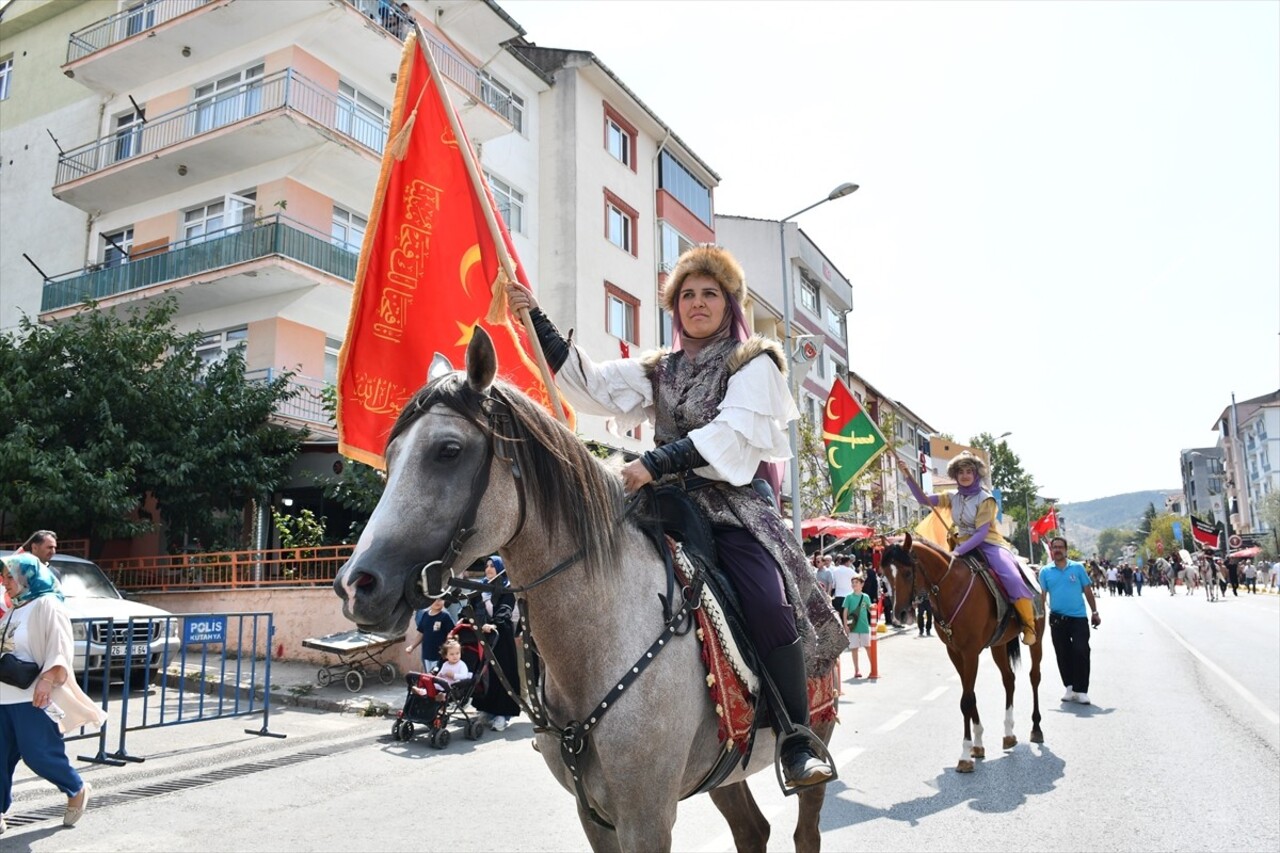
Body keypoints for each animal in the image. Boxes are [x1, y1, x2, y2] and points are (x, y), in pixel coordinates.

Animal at [335, 325, 834, 850]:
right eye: (390, 455)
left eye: (447, 450)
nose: (356, 585)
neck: (599, 642)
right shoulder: (594, 814)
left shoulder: (647, 818)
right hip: (725, 772)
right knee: (752, 830)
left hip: (815, 738)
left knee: (805, 830)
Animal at [885, 532, 1044, 768]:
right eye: (885, 575)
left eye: (906, 572)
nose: (900, 614)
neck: (950, 587)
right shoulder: (955, 652)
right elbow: (970, 696)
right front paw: (977, 745)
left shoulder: (970, 653)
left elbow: (966, 700)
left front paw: (965, 754)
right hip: (998, 644)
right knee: (1009, 679)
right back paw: (1008, 733)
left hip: (1038, 639)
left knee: (1034, 677)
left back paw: (1036, 728)